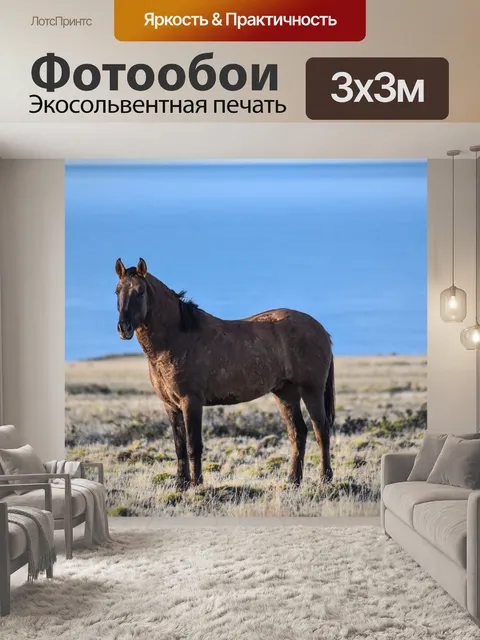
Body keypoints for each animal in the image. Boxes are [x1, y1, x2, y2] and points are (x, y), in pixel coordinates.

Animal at [115, 258, 335, 489]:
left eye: (140, 292)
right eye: (117, 291)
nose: (124, 328)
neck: (176, 339)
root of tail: (320, 329)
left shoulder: (190, 402)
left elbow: (193, 445)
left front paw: (196, 484)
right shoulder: (170, 406)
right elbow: (179, 447)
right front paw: (180, 484)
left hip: (311, 392)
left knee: (321, 432)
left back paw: (325, 478)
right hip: (285, 394)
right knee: (298, 433)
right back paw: (293, 480)